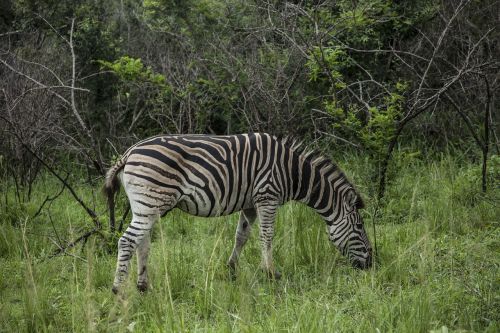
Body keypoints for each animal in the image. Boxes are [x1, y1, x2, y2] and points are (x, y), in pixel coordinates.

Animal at [105, 132, 372, 294]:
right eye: (360, 227)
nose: (371, 264)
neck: (292, 171)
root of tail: (129, 152)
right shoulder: (267, 196)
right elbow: (267, 235)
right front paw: (271, 273)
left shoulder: (250, 204)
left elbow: (241, 236)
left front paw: (232, 268)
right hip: (150, 201)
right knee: (127, 241)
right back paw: (118, 289)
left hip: (146, 207)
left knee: (142, 242)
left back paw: (143, 286)